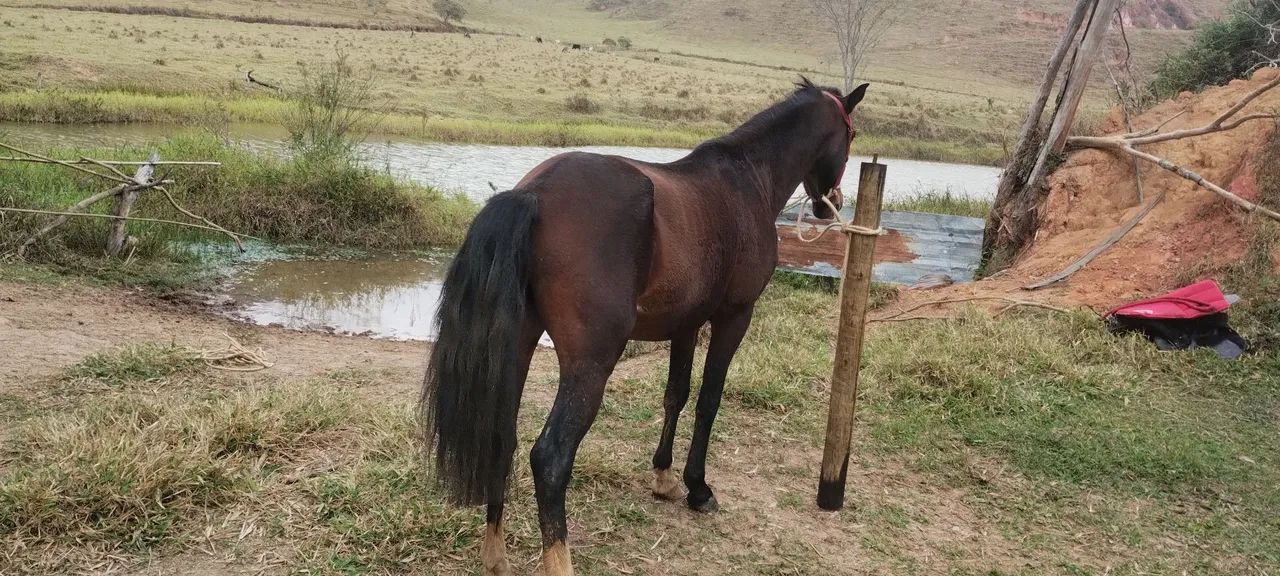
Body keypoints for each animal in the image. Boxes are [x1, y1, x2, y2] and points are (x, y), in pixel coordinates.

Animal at [422, 78, 869, 576]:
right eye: (850, 135)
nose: (832, 206)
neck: (747, 178)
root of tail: (535, 193)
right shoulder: (734, 317)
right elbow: (708, 400)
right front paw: (698, 488)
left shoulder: (686, 325)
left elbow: (676, 393)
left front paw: (664, 477)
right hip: (590, 364)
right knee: (551, 458)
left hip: (517, 347)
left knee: (502, 438)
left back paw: (495, 554)